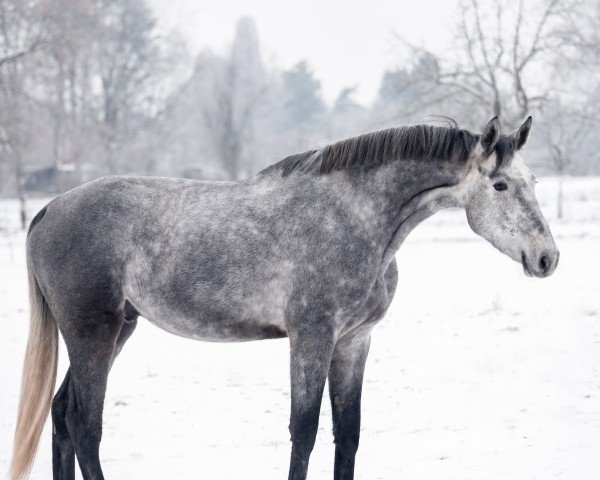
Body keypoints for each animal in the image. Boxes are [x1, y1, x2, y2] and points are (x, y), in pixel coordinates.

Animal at [10, 116, 556, 480]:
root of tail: (48, 210)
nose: (547, 258)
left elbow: (348, 434)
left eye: (533, 182)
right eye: (500, 185)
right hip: (93, 333)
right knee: (84, 424)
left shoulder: (353, 343)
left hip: (118, 329)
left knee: (61, 415)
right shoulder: (311, 338)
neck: (353, 217)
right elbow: (305, 431)